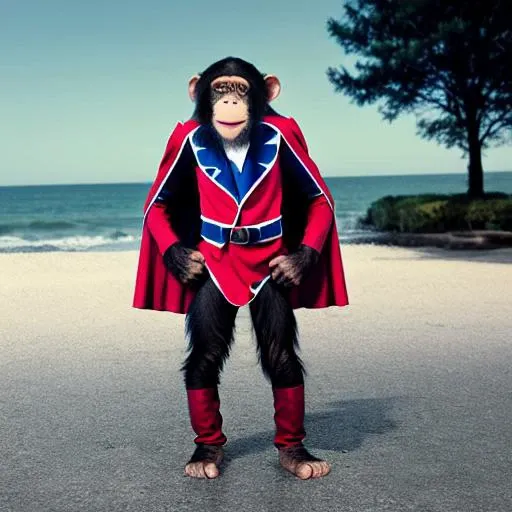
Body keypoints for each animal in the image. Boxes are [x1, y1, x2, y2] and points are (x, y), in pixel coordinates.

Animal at [132, 57, 348, 480]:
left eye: (241, 88)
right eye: (219, 87)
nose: (230, 100)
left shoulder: (292, 139)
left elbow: (317, 198)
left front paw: (297, 263)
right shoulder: (178, 146)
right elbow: (160, 203)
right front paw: (182, 260)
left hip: (267, 288)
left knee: (281, 358)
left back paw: (294, 452)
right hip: (214, 290)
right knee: (204, 359)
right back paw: (207, 451)